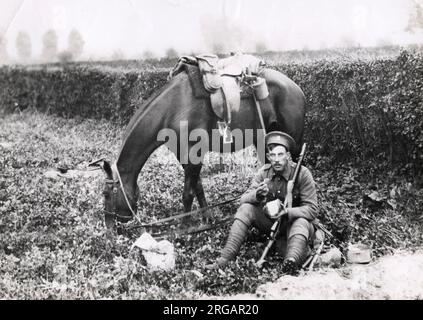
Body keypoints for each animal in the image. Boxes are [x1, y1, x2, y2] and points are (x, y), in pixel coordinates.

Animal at [99, 67, 304, 228]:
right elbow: (197, 186)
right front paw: (207, 218)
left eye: (106, 194)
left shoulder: (193, 152)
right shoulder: (183, 154)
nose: (110, 227)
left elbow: (188, 193)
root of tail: (297, 89)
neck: (174, 106)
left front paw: (184, 227)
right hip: (265, 141)